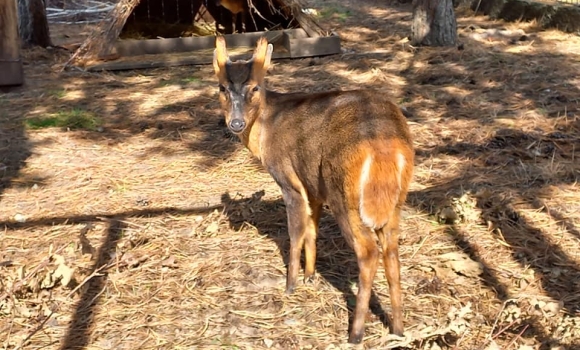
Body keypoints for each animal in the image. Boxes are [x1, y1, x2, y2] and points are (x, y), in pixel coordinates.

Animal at [215, 36, 414, 344]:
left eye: (255, 87)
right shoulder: (313, 186)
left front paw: (291, 284)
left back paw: (356, 333)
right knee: (391, 251)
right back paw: (398, 328)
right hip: (394, 203)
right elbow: (313, 229)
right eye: (222, 87)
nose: (236, 123)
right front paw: (310, 275)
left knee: (368, 252)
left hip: (344, 194)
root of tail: (386, 145)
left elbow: (296, 232)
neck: (267, 128)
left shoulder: (290, 181)